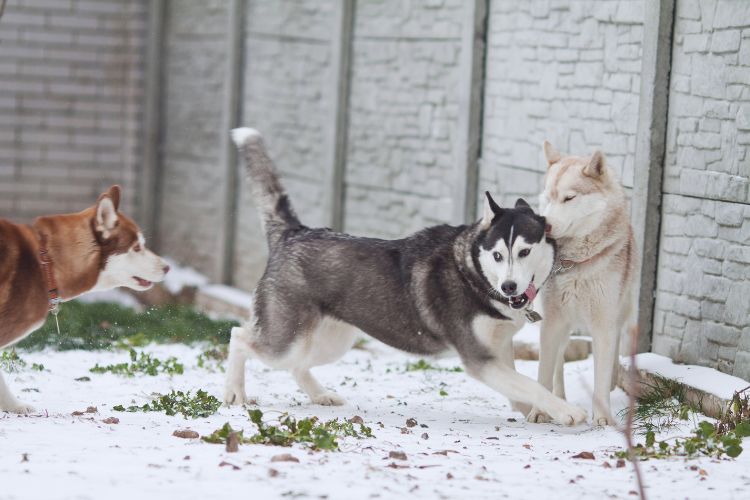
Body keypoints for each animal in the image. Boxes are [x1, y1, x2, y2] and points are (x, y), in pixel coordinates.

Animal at [223, 127, 588, 424]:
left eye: (524, 252)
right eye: (498, 255)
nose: (510, 286)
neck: (474, 275)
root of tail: (295, 232)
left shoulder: (498, 347)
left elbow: (520, 387)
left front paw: (533, 411)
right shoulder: (478, 357)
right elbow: (530, 385)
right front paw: (564, 411)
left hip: (331, 341)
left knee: (298, 364)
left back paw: (320, 395)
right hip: (288, 338)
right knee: (239, 337)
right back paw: (235, 392)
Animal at [528, 141, 640, 426]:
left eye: (569, 198)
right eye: (548, 197)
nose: (544, 226)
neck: (575, 264)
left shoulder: (604, 325)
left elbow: (601, 373)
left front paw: (603, 418)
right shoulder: (552, 324)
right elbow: (544, 371)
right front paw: (540, 411)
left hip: (623, 317)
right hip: (561, 326)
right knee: (558, 362)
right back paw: (560, 399)